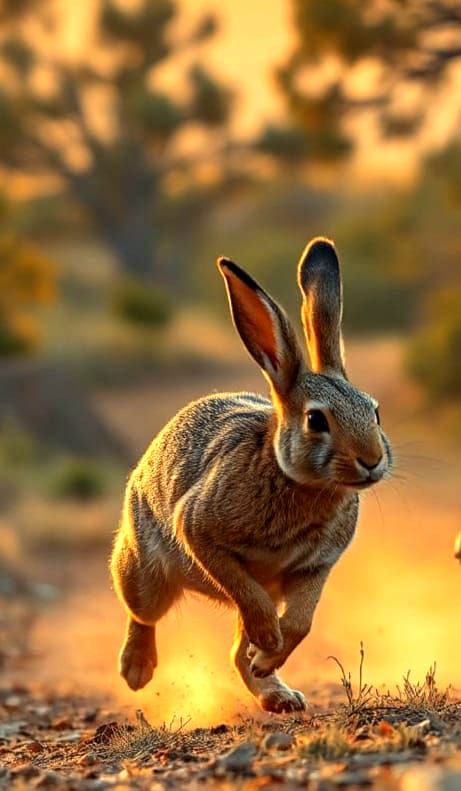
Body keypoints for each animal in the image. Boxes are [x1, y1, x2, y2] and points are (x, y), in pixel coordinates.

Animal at [110, 237, 392, 714]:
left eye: (375, 412)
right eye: (316, 420)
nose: (371, 459)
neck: (295, 481)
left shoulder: (315, 565)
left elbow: (300, 622)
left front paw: (269, 654)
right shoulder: (200, 533)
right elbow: (248, 595)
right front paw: (267, 641)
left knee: (234, 654)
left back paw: (277, 693)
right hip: (144, 567)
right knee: (140, 612)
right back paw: (137, 670)